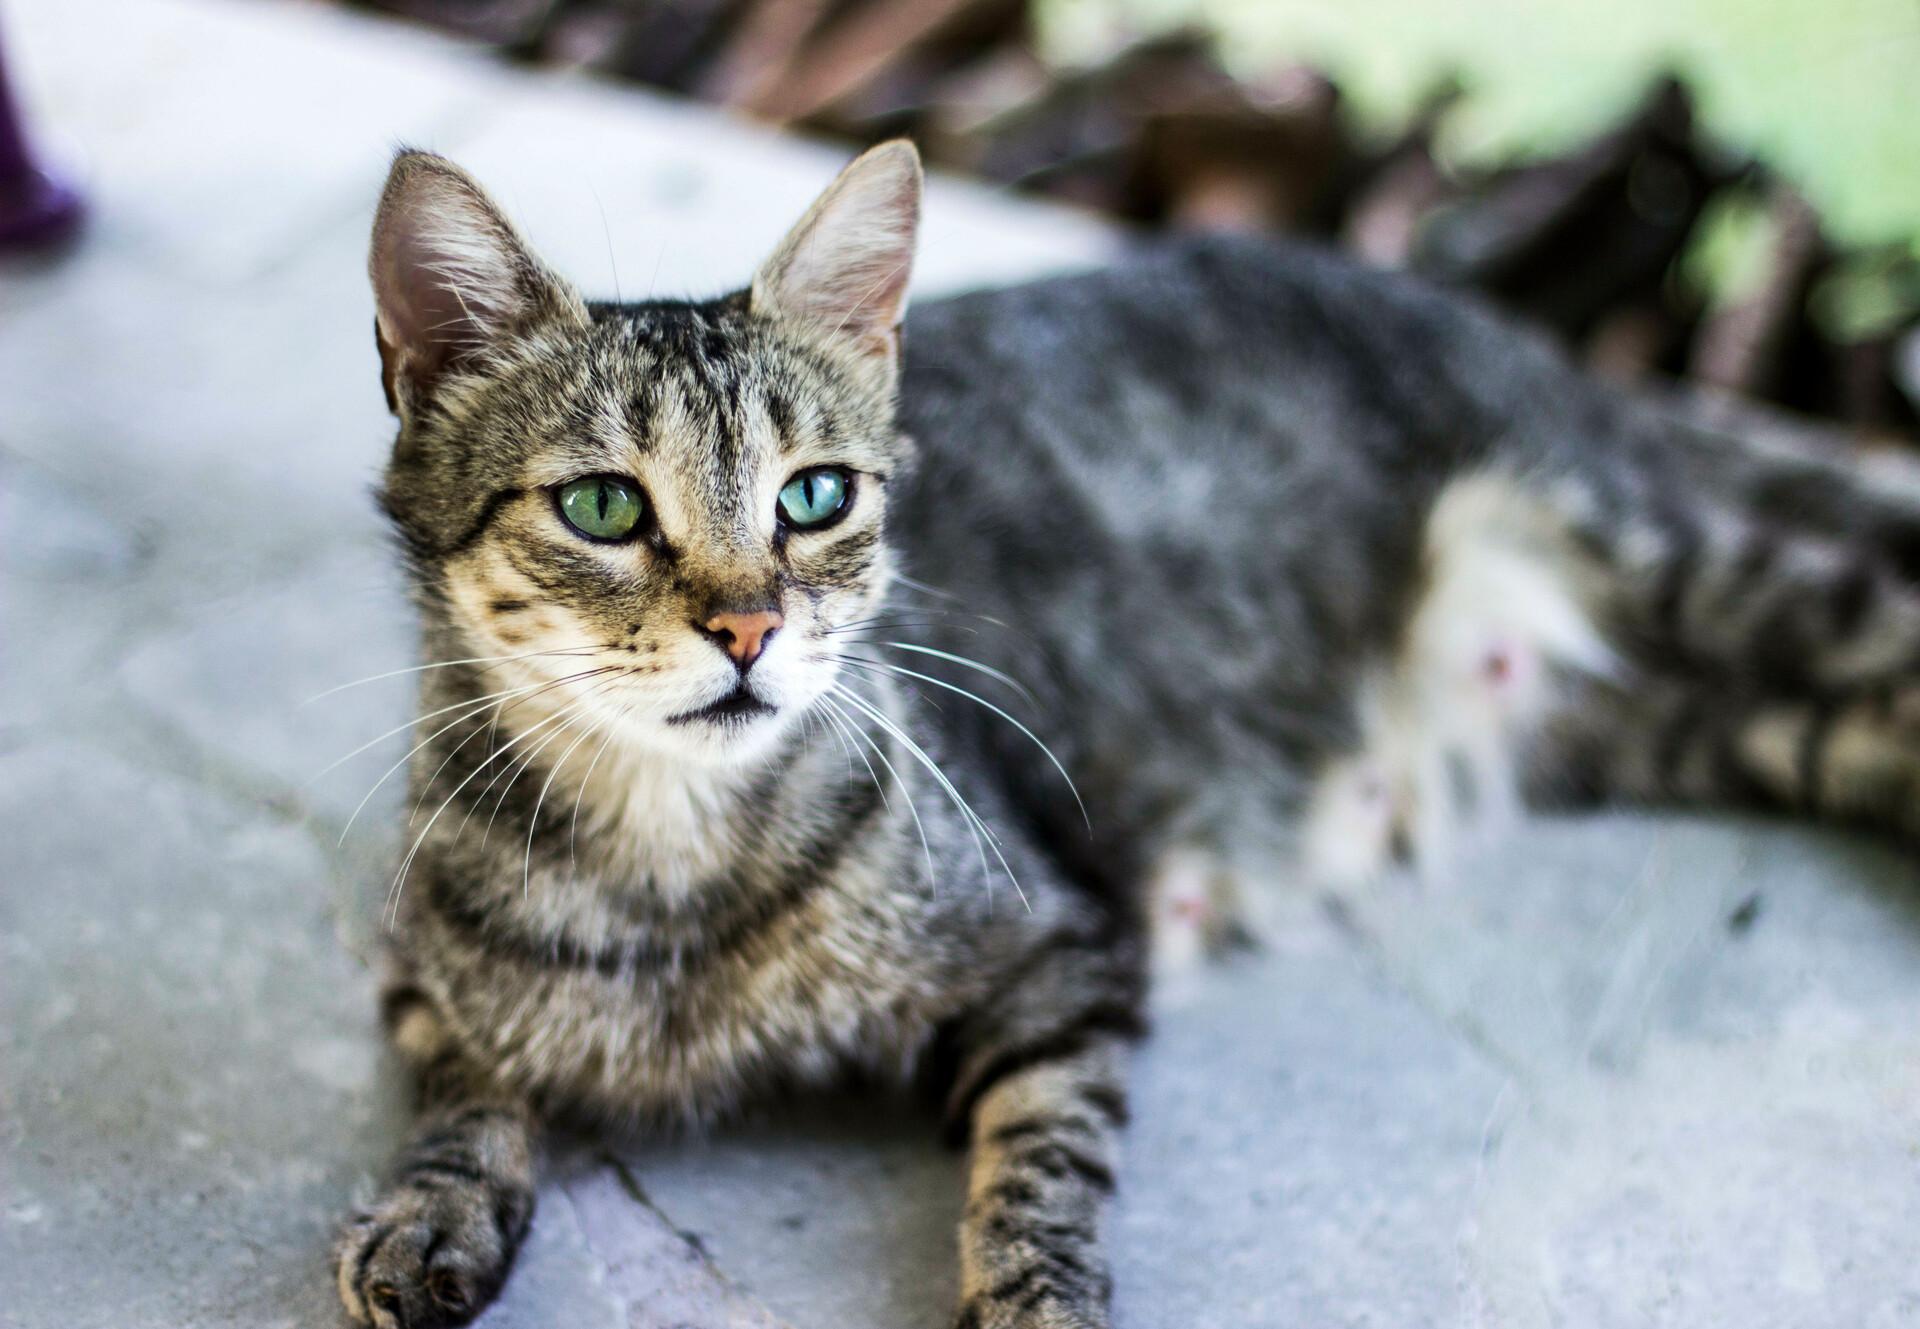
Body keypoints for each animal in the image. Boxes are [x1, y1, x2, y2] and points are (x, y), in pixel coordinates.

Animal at [334, 140, 1920, 1321]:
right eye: (604, 505)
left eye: (814, 497)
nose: (748, 630)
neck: (672, 874)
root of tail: (1520, 339)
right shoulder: (418, 969)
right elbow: (464, 1085)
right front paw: (430, 1209)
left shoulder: (1065, 951)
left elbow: (1042, 1161)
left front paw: (1034, 1296)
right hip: (1662, 712)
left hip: (1687, 573)